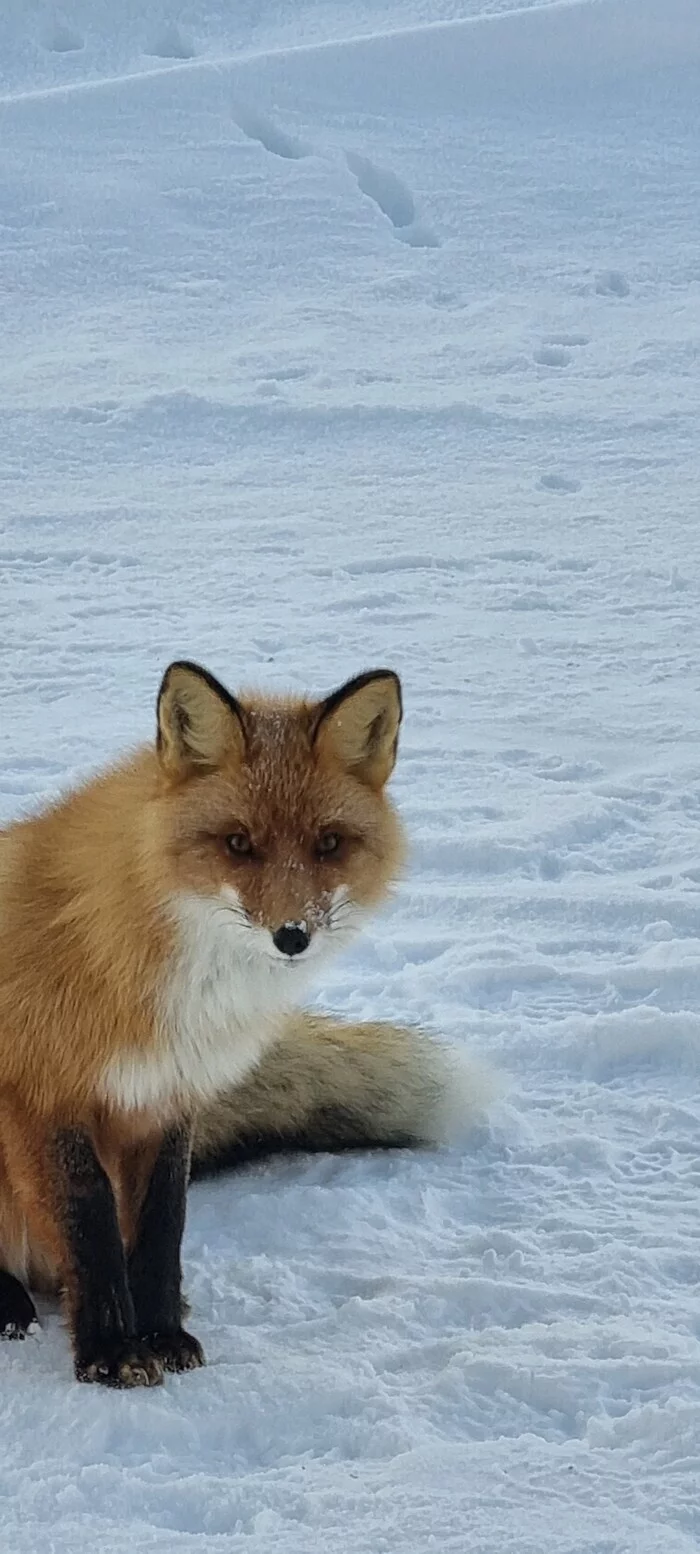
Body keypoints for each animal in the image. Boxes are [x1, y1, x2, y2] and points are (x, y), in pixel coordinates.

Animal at [0, 660, 489, 1388]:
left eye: (328, 844)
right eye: (237, 844)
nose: (292, 936)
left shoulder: (169, 1097)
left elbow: (161, 1228)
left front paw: (162, 1332)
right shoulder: (45, 1095)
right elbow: (89, 1228)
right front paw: (111, 1351)